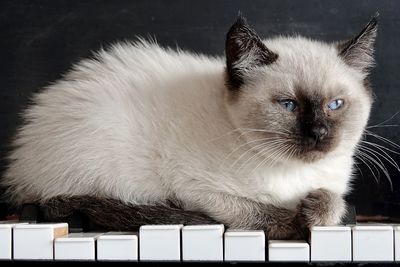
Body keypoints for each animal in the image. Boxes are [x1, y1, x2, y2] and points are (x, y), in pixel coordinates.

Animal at [1, 14, 378, 240]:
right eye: (288, 105)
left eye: (335, 105)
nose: (318, 134)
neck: (293, 176)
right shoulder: (199, 190)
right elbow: (262, 214)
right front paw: (297, 220)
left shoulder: (334, 189)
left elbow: (334, 205)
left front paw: (316, 207)